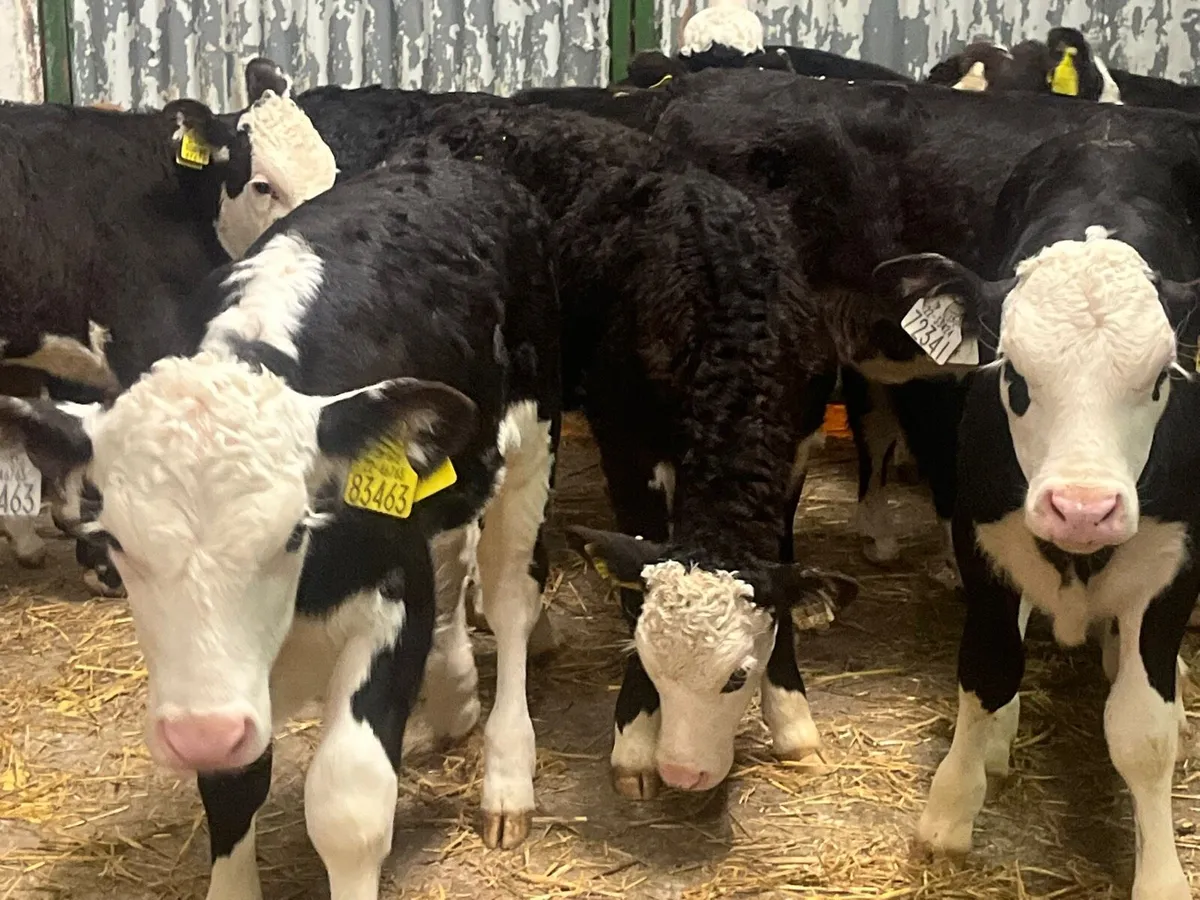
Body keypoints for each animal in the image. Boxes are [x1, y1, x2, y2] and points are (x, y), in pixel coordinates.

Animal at [0, 156, 562, 898]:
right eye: (117, 543)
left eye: (294, 531)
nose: (201, 734)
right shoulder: (218, 687)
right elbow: (231, 787)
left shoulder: (394, 594)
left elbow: (348, 804)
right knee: (455, 559)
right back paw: (455, 701)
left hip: (531, 444)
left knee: (508, 599)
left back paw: (506, 777)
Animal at [872, 115, 1200, 900]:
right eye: (1012, 374)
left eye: (1161, 378)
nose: (1082, 508)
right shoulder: (981, 537)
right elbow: (989, 669)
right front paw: (951, 811)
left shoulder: (1178, 559)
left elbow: (1142, 730)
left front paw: (1160, 873)